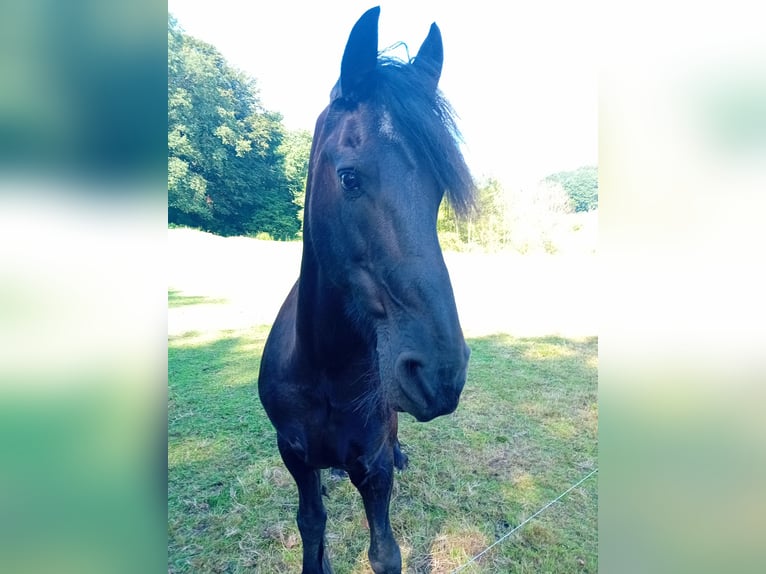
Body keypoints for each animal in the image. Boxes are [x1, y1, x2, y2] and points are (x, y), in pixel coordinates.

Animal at [260, 6, 474, 572]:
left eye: (438, 191)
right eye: (349, 178)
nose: (441, 375)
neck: (324, 369)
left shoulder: (372, 469)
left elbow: (384, 553)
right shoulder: (293, 455)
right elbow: (311, 524)